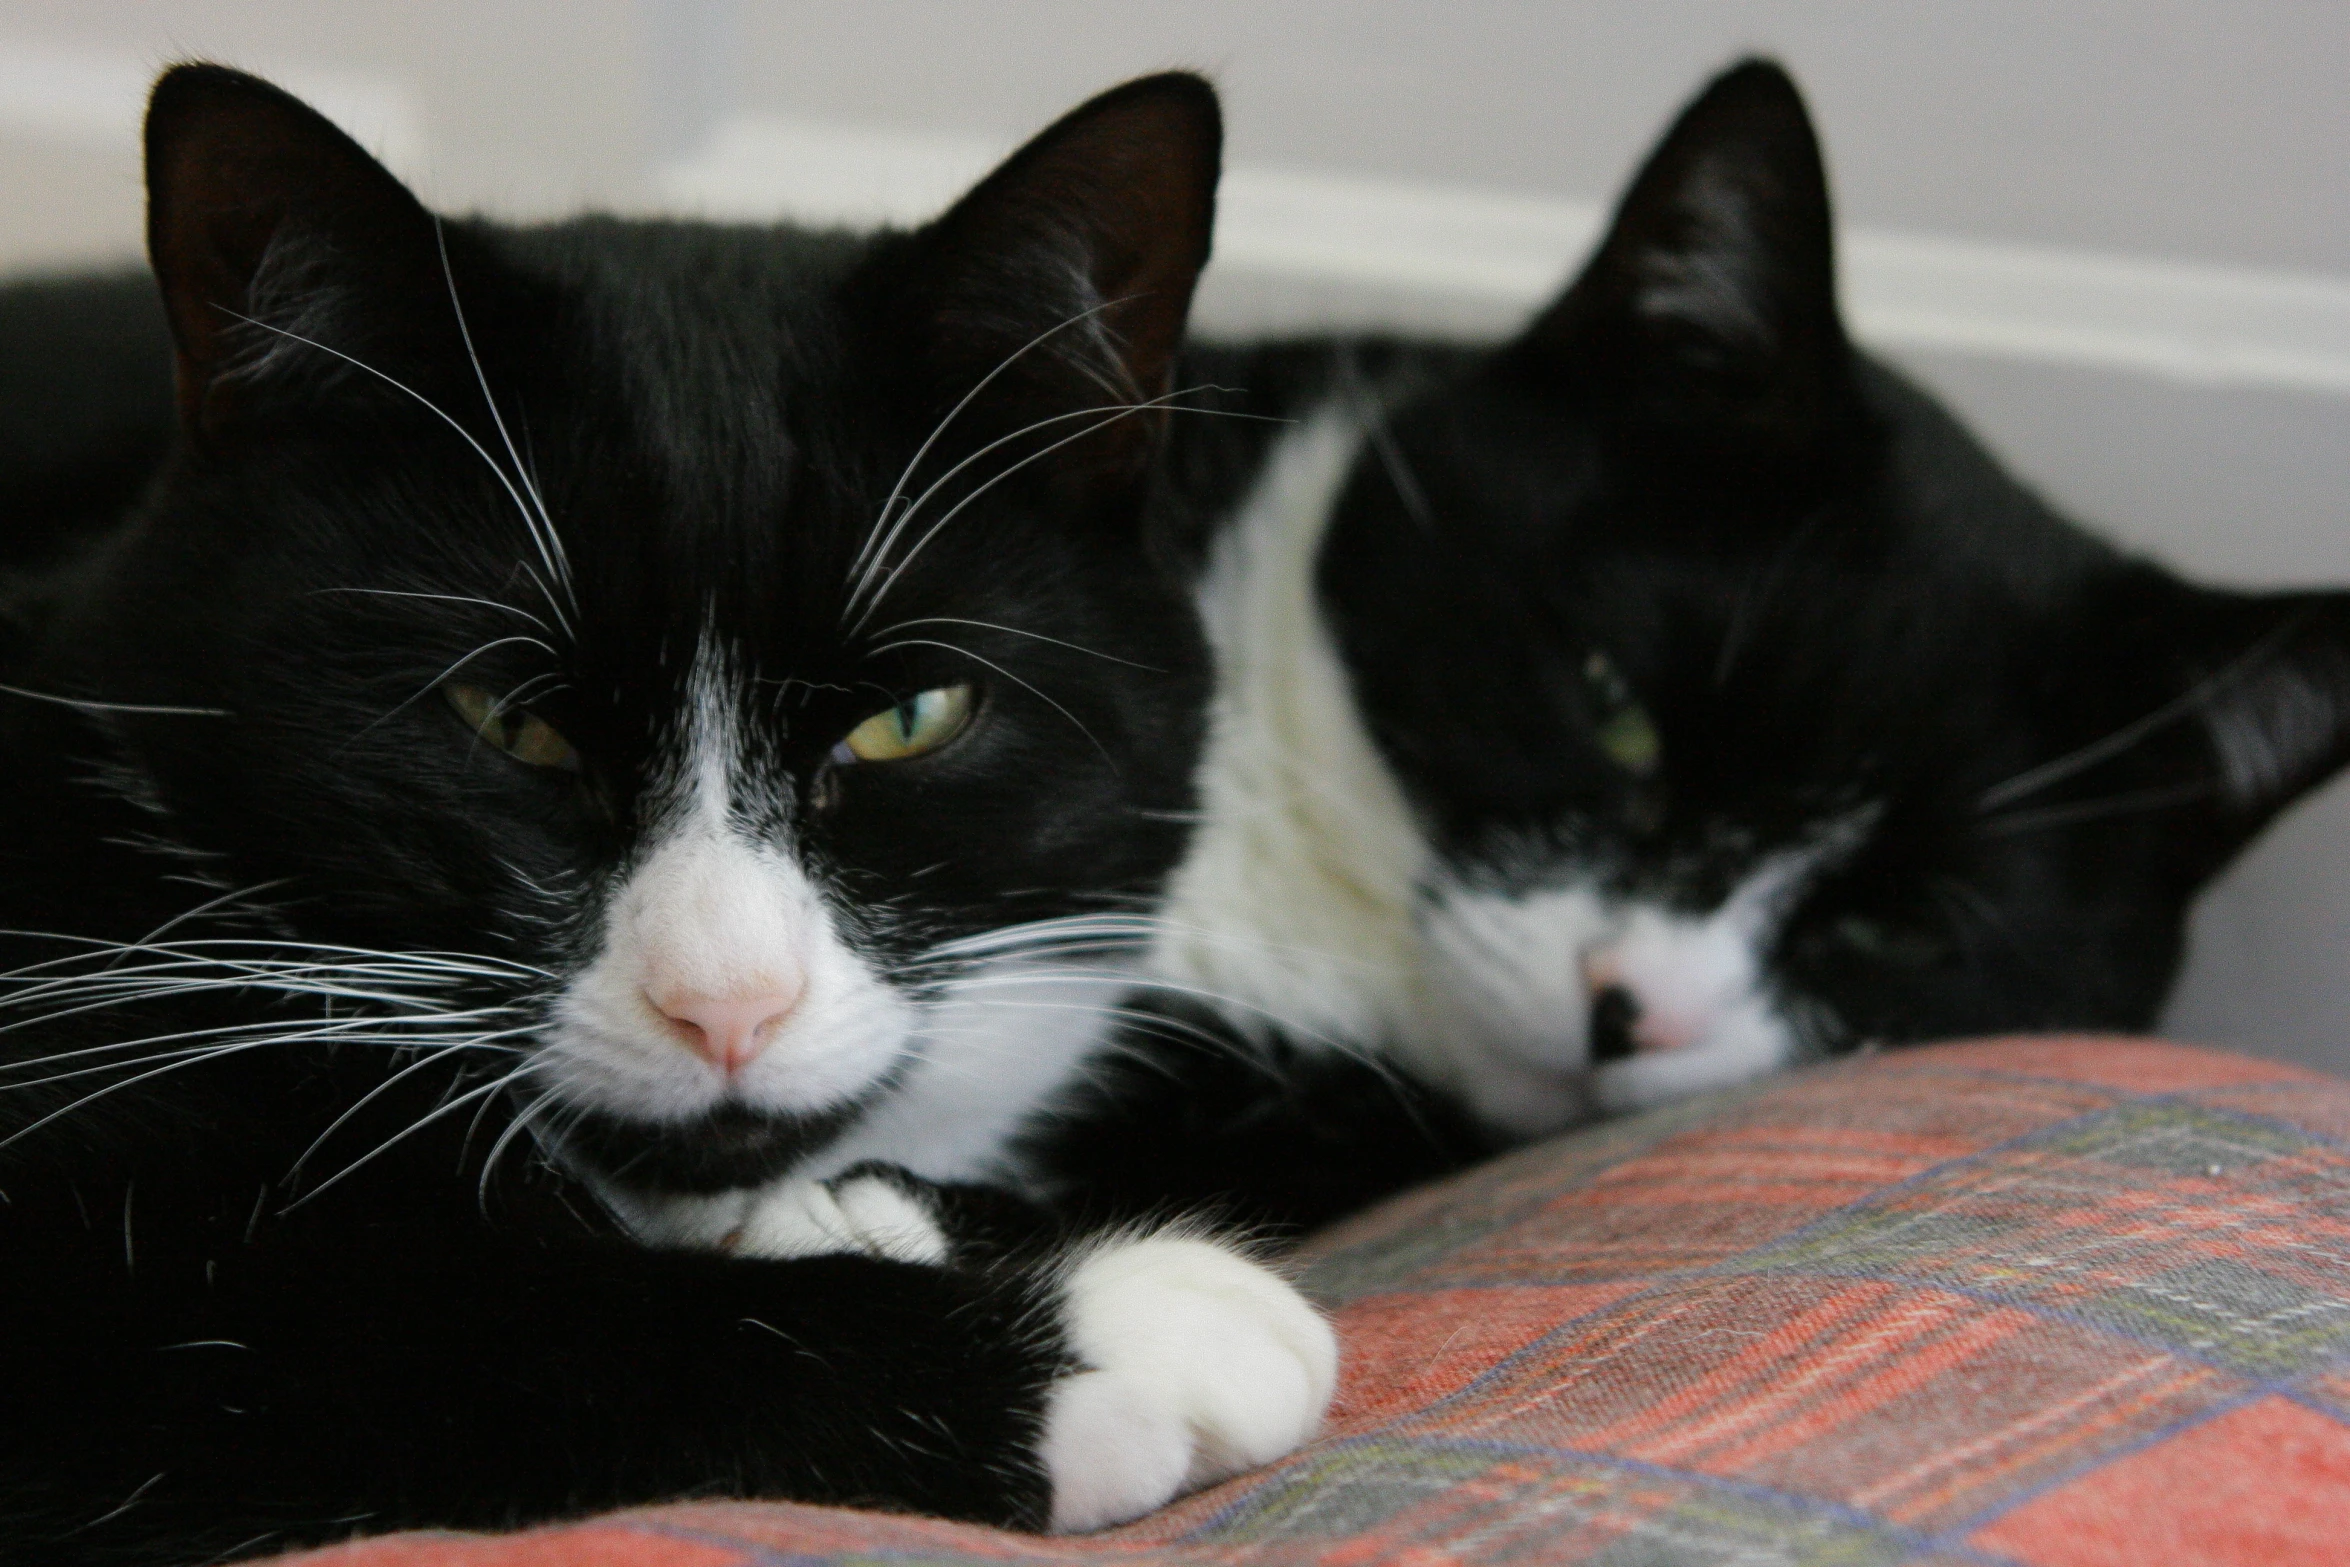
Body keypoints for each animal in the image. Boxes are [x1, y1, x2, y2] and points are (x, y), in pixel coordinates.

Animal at [0, 64, 1344, 1567]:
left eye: (910, 717)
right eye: (510, 720)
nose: (727, 1005)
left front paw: (894, 1210)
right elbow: (437, 1323)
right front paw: (1124, 1329)